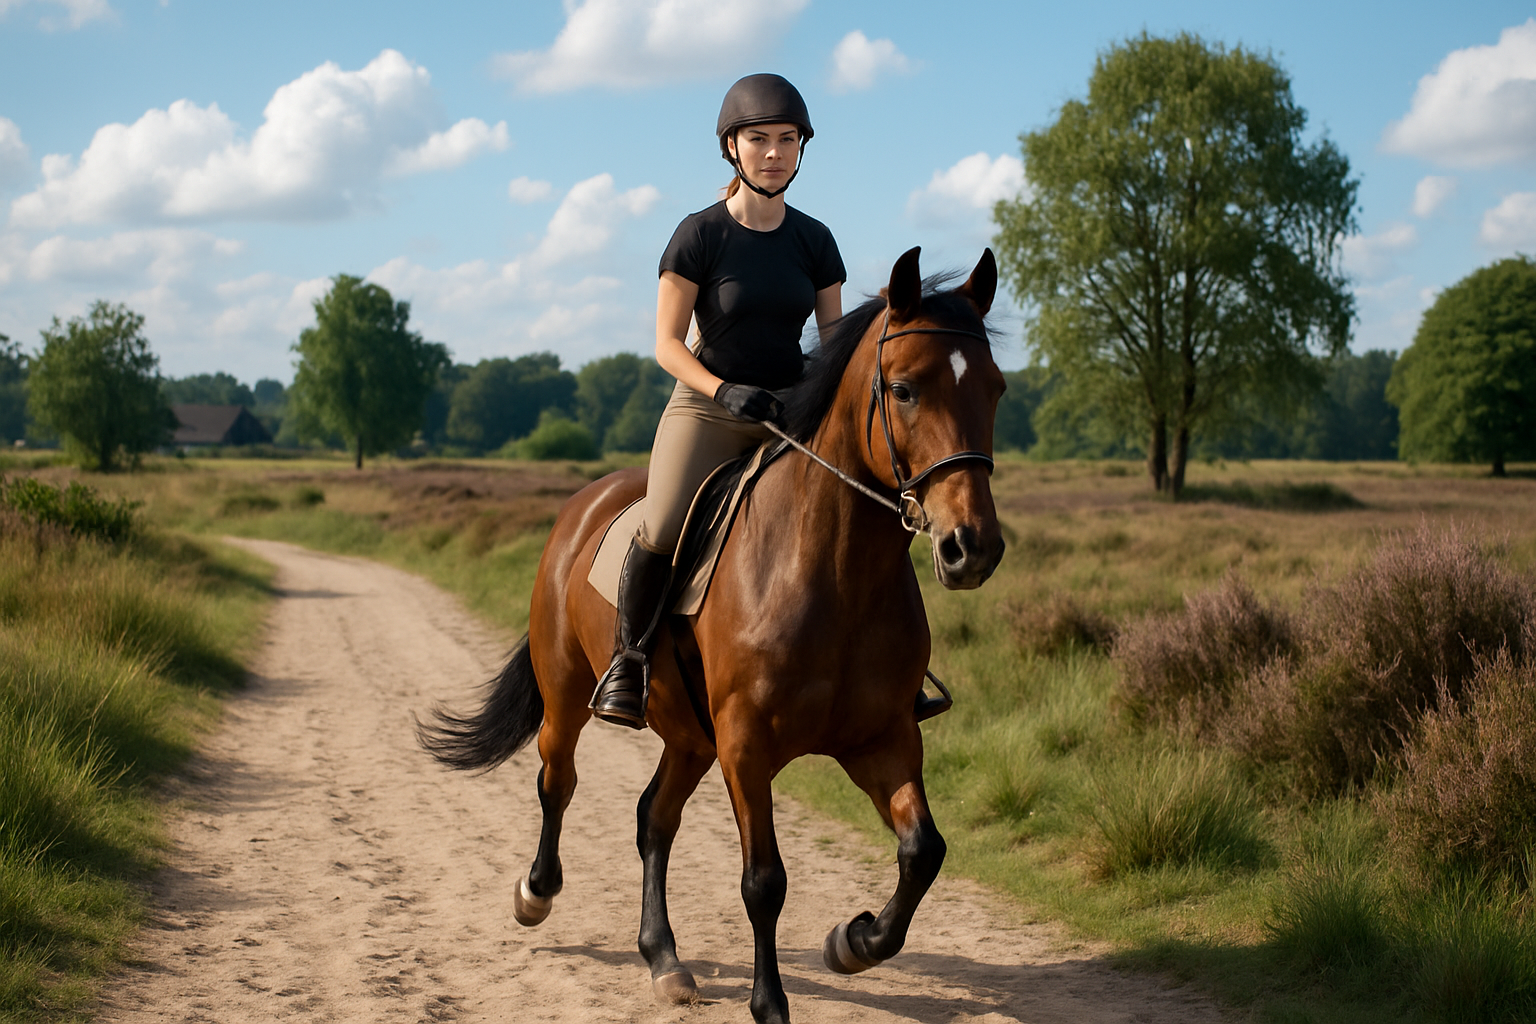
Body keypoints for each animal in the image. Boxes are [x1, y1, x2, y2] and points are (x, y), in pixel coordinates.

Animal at [420, 246, 1006, 1024]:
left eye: (997, 390)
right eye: (906, 390)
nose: (972, 548)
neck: (835, 572)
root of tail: (583, 503)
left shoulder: (883, 739)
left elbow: (924, 851)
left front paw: (853, 941)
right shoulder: (746, 745)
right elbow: (764, 880)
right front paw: (771, 1004)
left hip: (689, 733)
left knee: (653, 818)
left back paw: (663, 959)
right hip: (571, 694)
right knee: (558, 780)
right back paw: (536, 894)